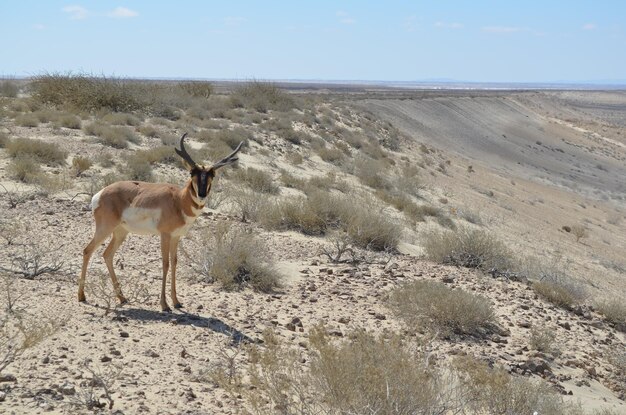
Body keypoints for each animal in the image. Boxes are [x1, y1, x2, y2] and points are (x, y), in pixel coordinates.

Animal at [77, 134, 241, 312]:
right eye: (192, 172)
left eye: (212, 174)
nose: (202, 194)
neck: (178, 200)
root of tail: (100, 194)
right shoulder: (165, 235)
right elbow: (165, 264)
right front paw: (164, 305)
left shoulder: (176, 237)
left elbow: (175, 263)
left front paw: (176, 301)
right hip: (105, 229)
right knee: (87, 251)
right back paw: (82, 296)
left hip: (120, 233)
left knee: (107, 255)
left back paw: (122, 298)